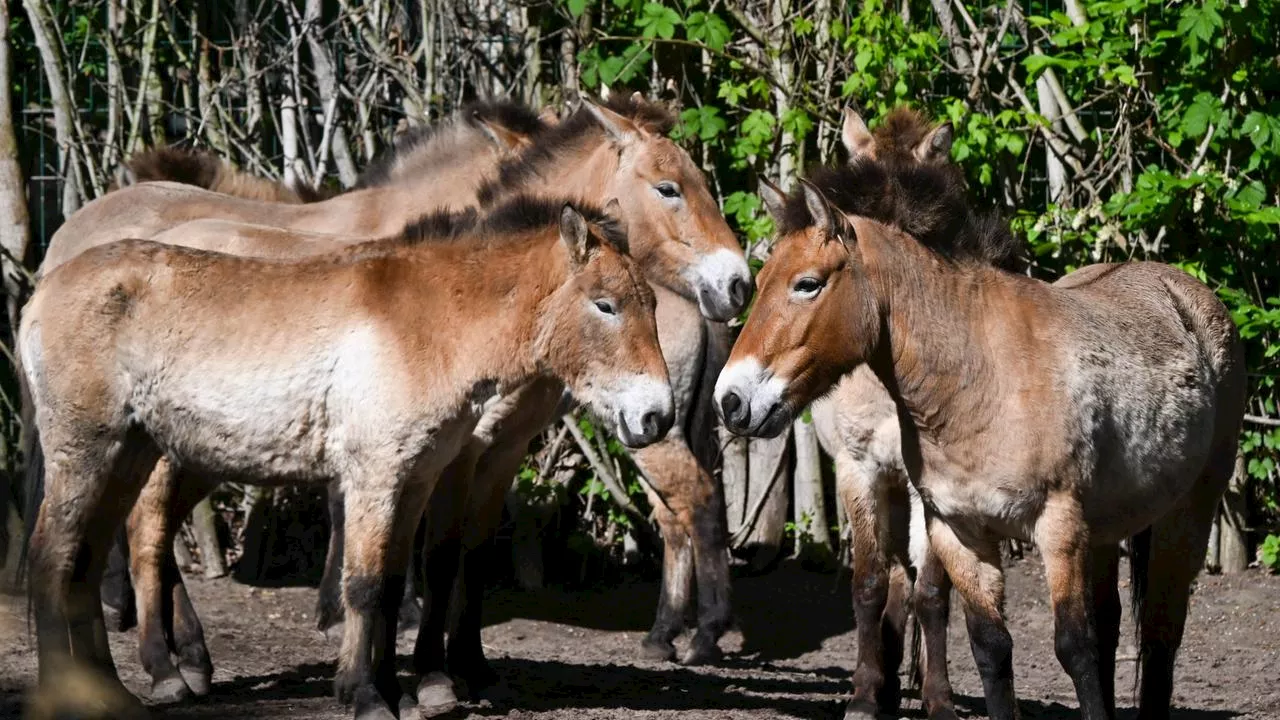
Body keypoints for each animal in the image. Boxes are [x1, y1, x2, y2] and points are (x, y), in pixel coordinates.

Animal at [716, 169, 1244, 717]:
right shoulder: (958, 529)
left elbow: (1074, 646)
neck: (980, 379)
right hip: (1105, 530)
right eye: (759, 284)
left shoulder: (1058, 527)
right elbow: (990, 645)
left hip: (1186, 513)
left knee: (1160, 632)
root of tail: (1190, 295)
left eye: (808, 284)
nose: (731, 400)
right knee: (1114, 623)